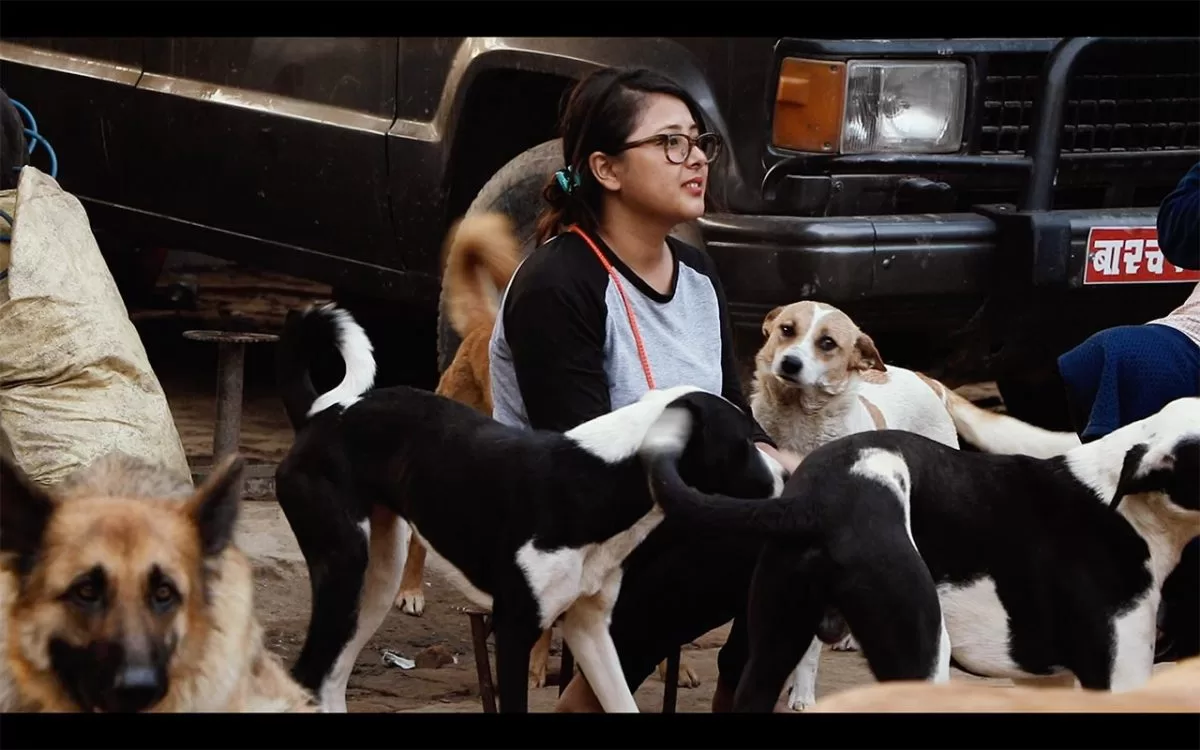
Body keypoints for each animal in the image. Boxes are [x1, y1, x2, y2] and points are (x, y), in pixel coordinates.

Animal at [270, 301, 787, 710]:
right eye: (745, 443)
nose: (787, 479)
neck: (593, 478)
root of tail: (322, 416)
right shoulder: (514, 630)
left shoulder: (589, 628)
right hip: (345, 569)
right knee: (310, 674)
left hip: (376, 580)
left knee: (330, 680)